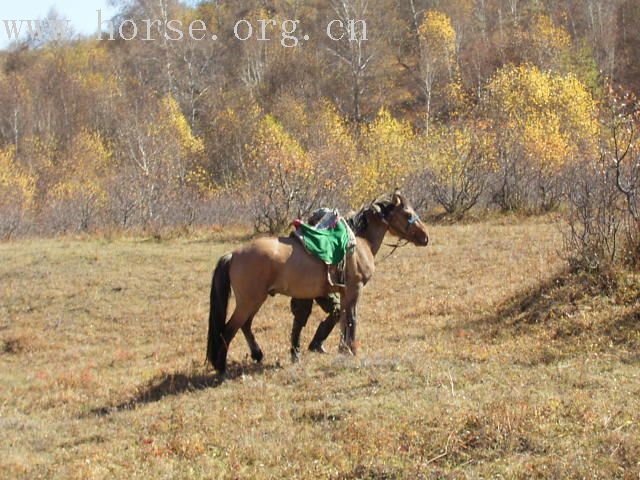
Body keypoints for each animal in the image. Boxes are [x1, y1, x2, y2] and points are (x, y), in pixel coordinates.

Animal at [208, 189, 428, 374]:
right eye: (407, 213)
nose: (425, 237)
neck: (359, 241)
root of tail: (233, 254)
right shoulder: (354, 289)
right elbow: (352, 318)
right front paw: (352, 350)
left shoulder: (343, 293)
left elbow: (343, 318)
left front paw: (342, 349)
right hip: (249, 301)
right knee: (228, 330)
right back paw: (222, 368)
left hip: (255, 301)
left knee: (245, 326)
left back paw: (258, 354)